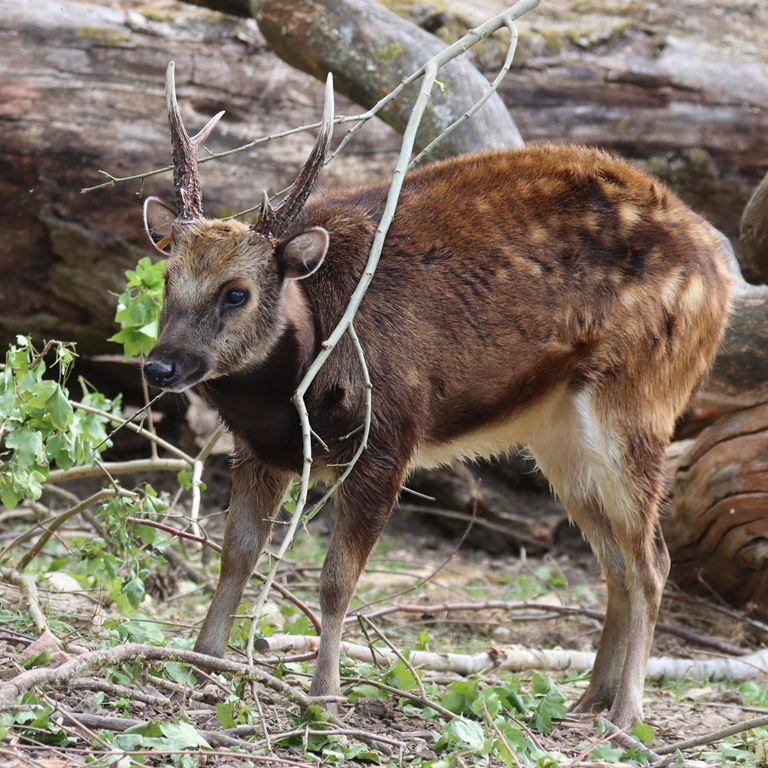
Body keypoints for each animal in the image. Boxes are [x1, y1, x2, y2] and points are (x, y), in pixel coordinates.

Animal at [142, 62, 731, 729]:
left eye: (237, 292)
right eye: (168, 277)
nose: (161, 365)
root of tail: (721, 272)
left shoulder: (388, 436)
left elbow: (336, 580)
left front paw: (324, 696)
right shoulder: (257, 449)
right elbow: (236, 553)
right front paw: (201, 664)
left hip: (640, 400)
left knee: (653, 561)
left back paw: (627, 715)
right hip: (561, 436)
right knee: (617, 560)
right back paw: (589, 699)